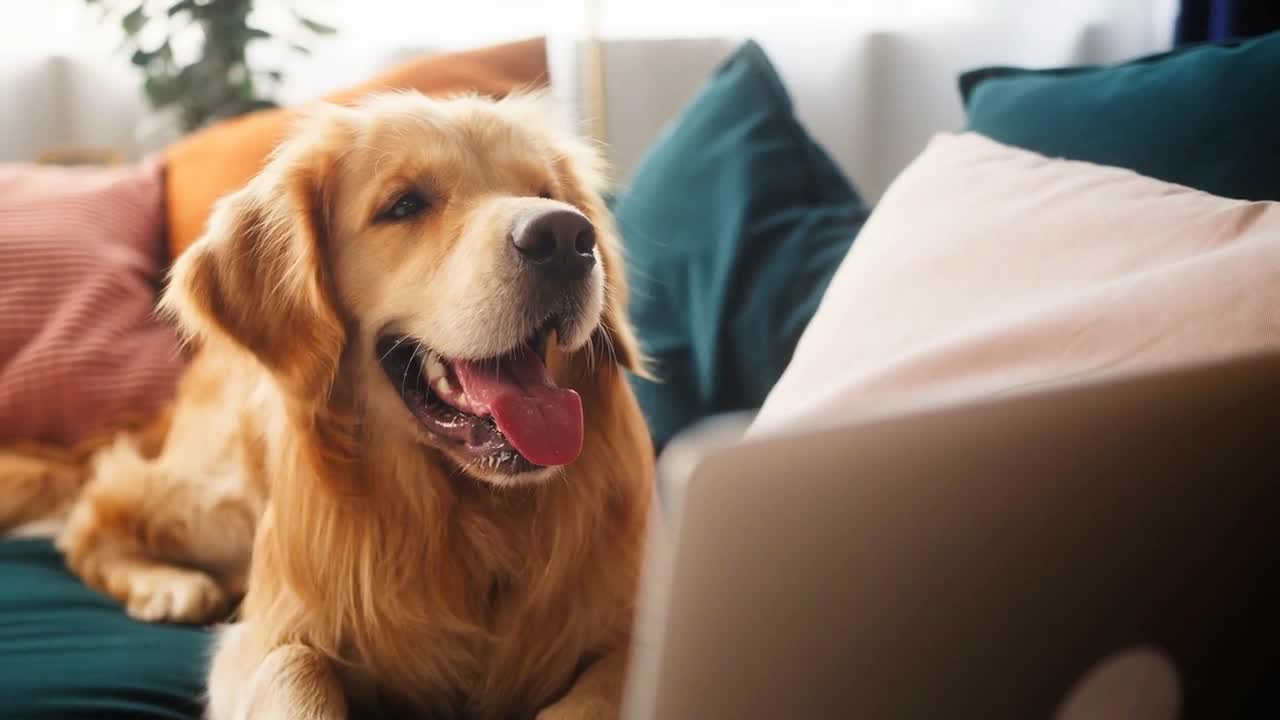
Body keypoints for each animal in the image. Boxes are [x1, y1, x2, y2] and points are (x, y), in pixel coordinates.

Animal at [5, 90, 655, 717]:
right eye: (404, 205)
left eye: (545, 194)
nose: (566, 238)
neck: (471, 520)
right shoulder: (265, 640)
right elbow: (298, 671)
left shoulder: (625, 629)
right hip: (220, 507)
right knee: (96, 511)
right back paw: (168, 585)